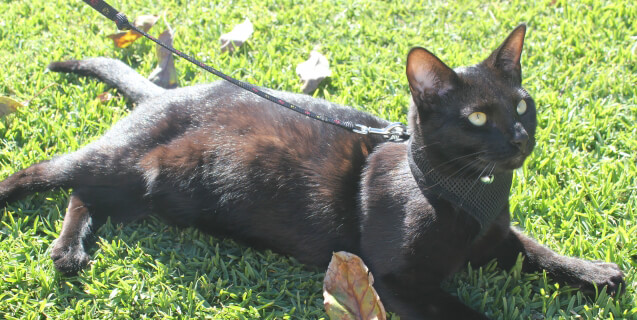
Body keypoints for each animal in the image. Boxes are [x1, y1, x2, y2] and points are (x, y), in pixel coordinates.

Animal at [0, 24, 620, 318]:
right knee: (51, 172)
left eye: (521, 105)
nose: (518, 139)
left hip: (142, 188)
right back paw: (51, 232)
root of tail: (165, 93)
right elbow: (467, 314)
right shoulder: (394, 280)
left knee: (85, 193)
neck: (468, 191)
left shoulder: (496, 237)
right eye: (477, 117)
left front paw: (590, 273)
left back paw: (70, 250)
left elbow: (534, 249)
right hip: (123, 163)